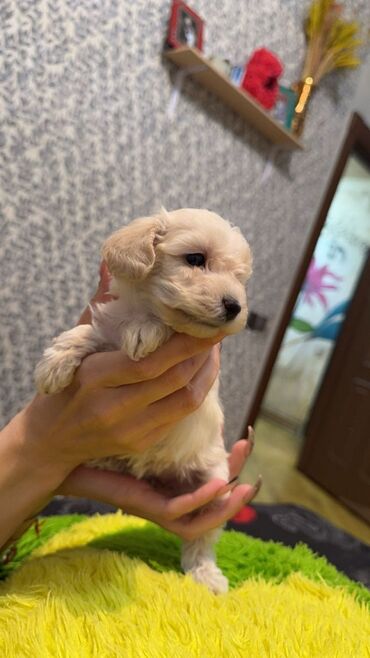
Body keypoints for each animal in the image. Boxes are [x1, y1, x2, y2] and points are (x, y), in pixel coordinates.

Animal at [34, 208, 253, 592]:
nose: (235, 306)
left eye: (240, 278)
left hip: (215, 485)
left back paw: (206, 574)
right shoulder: (107, 328)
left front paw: (147, 329)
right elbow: (87, 331)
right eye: (195, 259)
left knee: (201, 539)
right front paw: (54, 365)